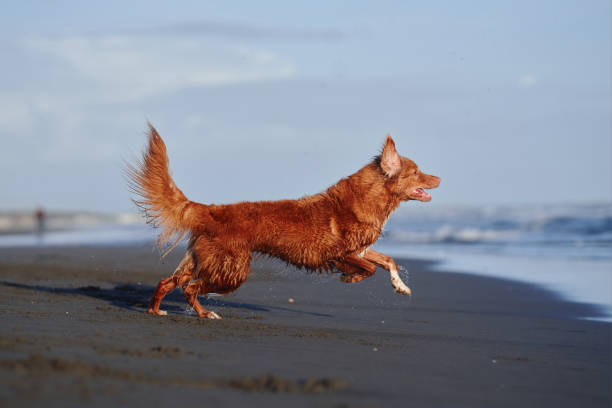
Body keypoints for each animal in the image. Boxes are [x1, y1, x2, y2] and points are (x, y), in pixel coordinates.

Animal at [126, 125, 440, 318]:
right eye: (416, 171)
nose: (439, 178)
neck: (368, 199)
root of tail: (208, 209)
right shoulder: (340, 253)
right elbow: (370, 269)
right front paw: (351, 278)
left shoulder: (361, 250)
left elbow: (387, 261)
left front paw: (400, 286)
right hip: (232, 269)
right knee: (189, 288)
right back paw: (205, 314)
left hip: (203, 260)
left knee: (167, 282)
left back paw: (155, 310)